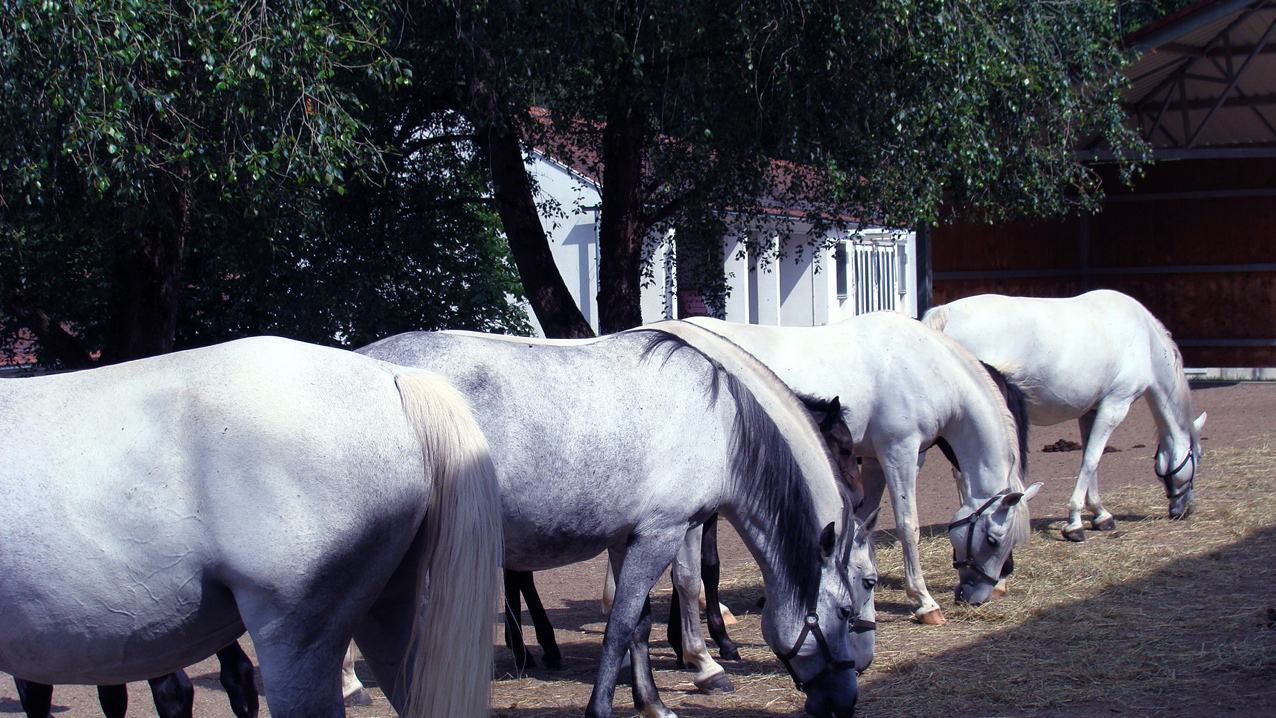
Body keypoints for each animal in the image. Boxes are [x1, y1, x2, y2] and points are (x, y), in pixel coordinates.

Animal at [364, 323, 872, 718]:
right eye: (847, 609)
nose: (849, 696)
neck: (720, 423)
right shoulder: (664, 533)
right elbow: (623, 624)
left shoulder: (626, 538)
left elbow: (640, 623)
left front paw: (652, 702)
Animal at [689, 315, 1036, 624]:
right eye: (993, 540)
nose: (981, 595)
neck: (925, 365)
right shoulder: (900, 453)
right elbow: (908, 525)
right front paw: (924, 602)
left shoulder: (872, 461)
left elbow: (863, 519)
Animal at [928, 289, 1204, 543]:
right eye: (1197, 458)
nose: (1185, 510)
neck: (1144, 340)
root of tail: (946, 313)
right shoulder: (1115, 406)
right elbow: (1091, 460)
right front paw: (1074, 523)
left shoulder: (1090, 412)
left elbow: (1091, 459)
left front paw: (1100, 514)